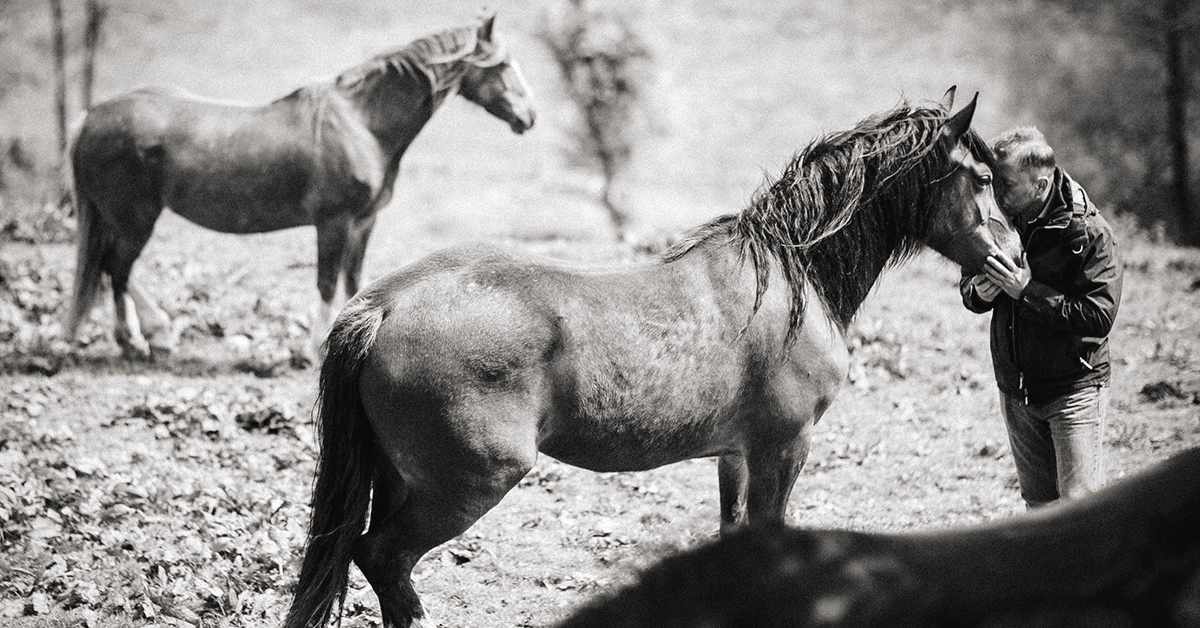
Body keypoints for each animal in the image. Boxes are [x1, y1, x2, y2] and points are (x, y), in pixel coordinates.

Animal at [65, 14, 535, 360]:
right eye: (503, 65)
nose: (529, 116)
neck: (361, 124)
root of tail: (90, 117)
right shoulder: (334, 223)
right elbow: (326, 284)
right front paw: (313, 349)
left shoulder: (363, 224)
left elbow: (354, 282)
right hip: (136, 219)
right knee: (117, 270)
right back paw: (141, 339)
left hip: (122, 219)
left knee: (111, 270)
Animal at [283, 88, 1022, 628]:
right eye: (982, 177)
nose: (1014, 263)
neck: (792, 277)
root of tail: (385, 306)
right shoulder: (784, 447)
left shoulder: (736, 456)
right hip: (468, 484)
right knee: (385, 559)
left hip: (398, 477)